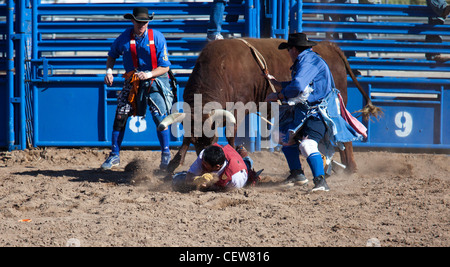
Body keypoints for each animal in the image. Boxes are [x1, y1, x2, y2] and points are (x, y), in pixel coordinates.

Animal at [162, 38, 380, 175]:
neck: (221, 69)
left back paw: (351, 167)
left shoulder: (238, 109)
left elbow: (232, 137)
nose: (205, 164)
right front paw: (171, 165)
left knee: (345, 135)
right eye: (197, 143)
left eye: (212, 141)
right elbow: (185, 141)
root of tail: (329, 46)